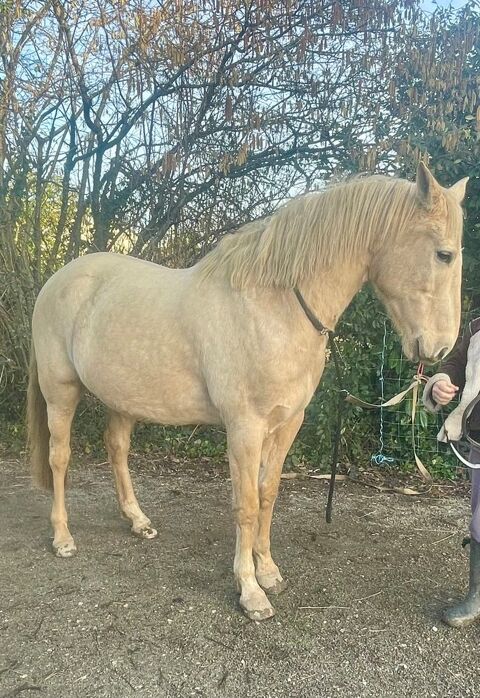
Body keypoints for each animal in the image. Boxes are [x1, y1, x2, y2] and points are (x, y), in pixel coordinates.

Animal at [27, 163, 467, 621]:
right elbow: (247, 505)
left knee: (116, 448)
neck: (275, 306)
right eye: (444, 254)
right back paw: (62, 538)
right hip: (60, 392)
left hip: (123, 398)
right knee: (60, 459)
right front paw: (250, 591)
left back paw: (138, 520)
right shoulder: (245, 428)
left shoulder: (287, 423)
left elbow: (268, 494)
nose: (440, 347)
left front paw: (268, 571)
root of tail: (58, 281)